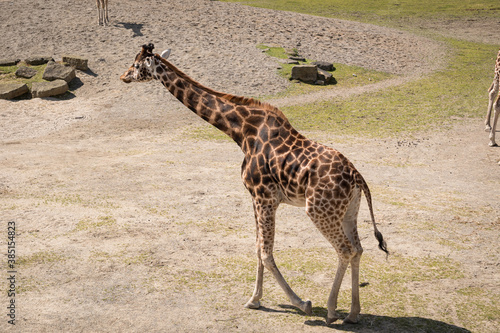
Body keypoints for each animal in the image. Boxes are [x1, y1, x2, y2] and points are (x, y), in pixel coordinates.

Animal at [119, 44, 388, 324]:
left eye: (136, 65)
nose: (123, 76)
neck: (240, 132)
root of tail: (358, 177)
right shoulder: (255, 197)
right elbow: (258, 248)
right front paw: (254, 300)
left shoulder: (264, 196)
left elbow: (266, 253)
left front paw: (302, 303)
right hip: (348, 211)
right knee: (358, 249)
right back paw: (353, 313)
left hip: (318, 210)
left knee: (344, 250)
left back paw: (332, 310)